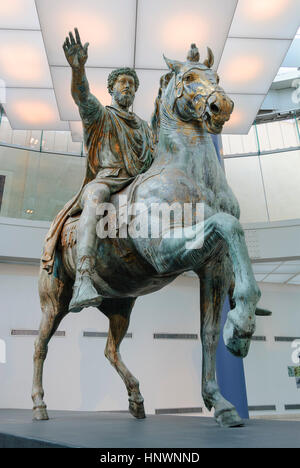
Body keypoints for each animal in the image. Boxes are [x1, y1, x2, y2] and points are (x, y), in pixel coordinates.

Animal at [32, 46, 260, 428]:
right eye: (188, 77)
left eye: (216, 78)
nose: (222, 106)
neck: (190, 177)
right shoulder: (164, 253)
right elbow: (228, 224)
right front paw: (241, 328)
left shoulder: (214, 265)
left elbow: (208, 333)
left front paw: (221, 401)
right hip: (54, 302)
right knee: (40, 345)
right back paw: (39, 406)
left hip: (120, 306)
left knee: (110, 349)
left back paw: (137, 401)